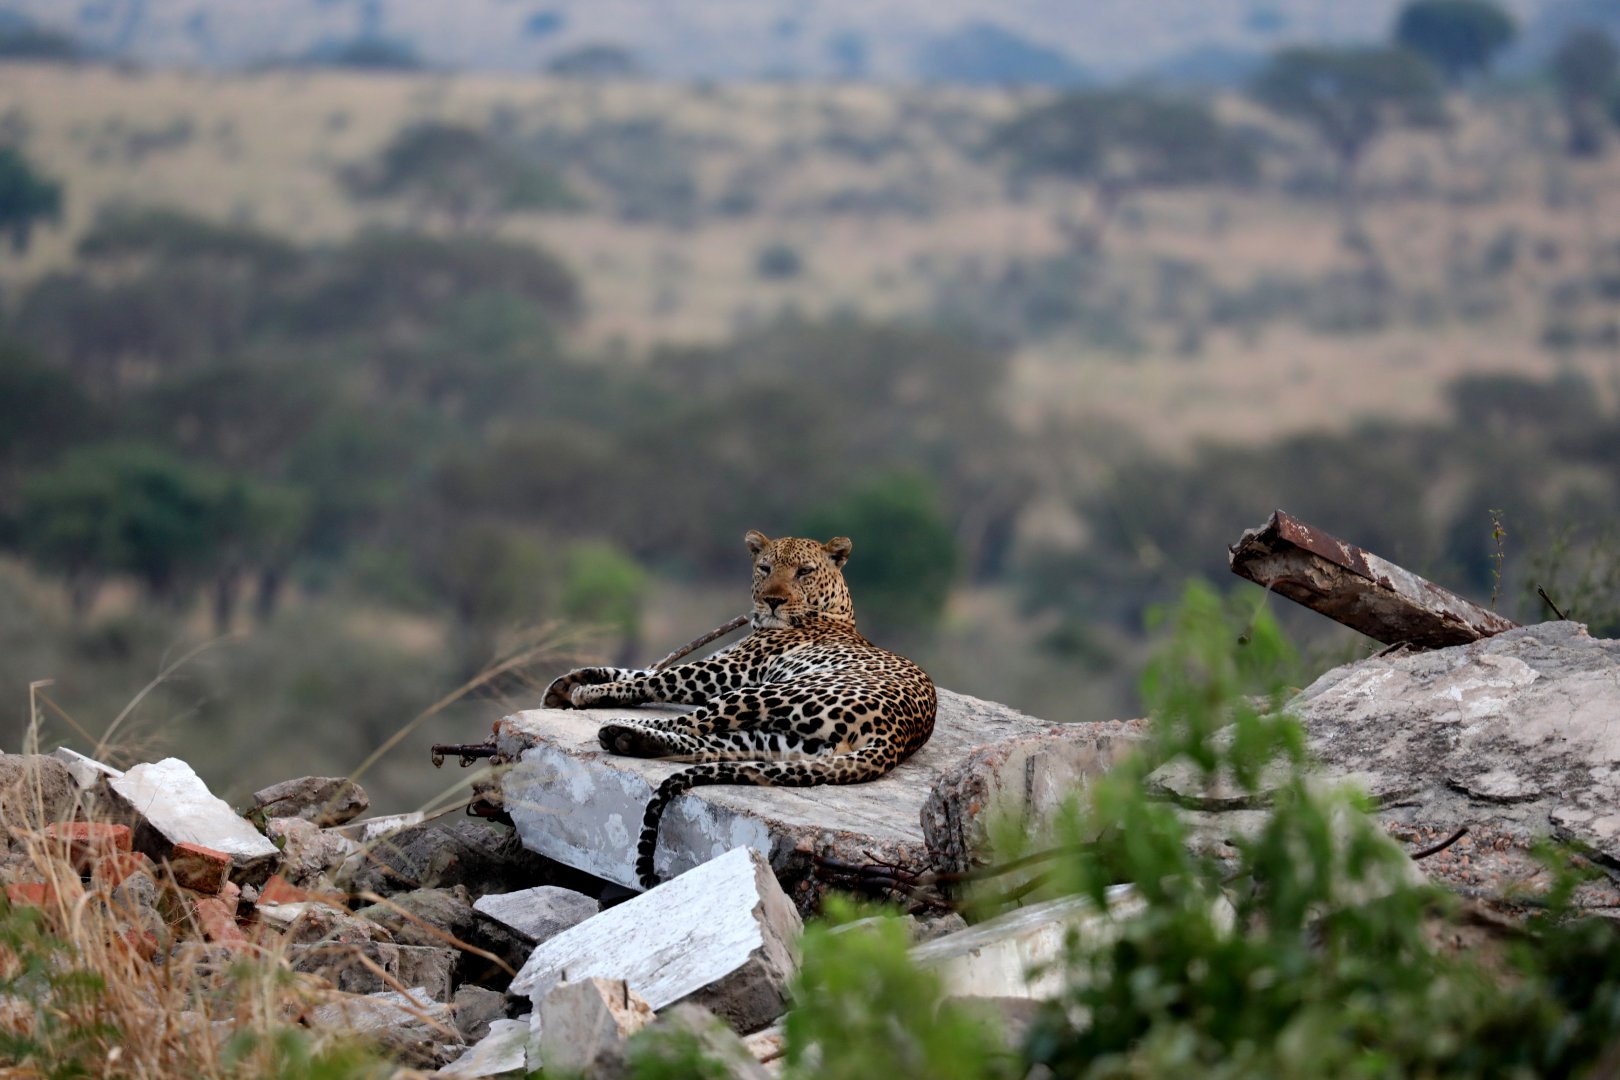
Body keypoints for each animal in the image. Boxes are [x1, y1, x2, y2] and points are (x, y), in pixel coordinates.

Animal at [542, 529, 937, 890]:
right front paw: (567, 684)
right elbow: (639, 671)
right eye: (765, 568)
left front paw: (589, 692)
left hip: (762, 691)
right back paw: (628, 738)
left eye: (804, 572)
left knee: (689, 724)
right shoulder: (722, 664)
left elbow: (655, 678)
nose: (773, 601)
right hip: (786, 740)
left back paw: (618, 727)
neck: (836, 612)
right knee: (708, 744)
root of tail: (898, 737)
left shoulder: (727, 670)